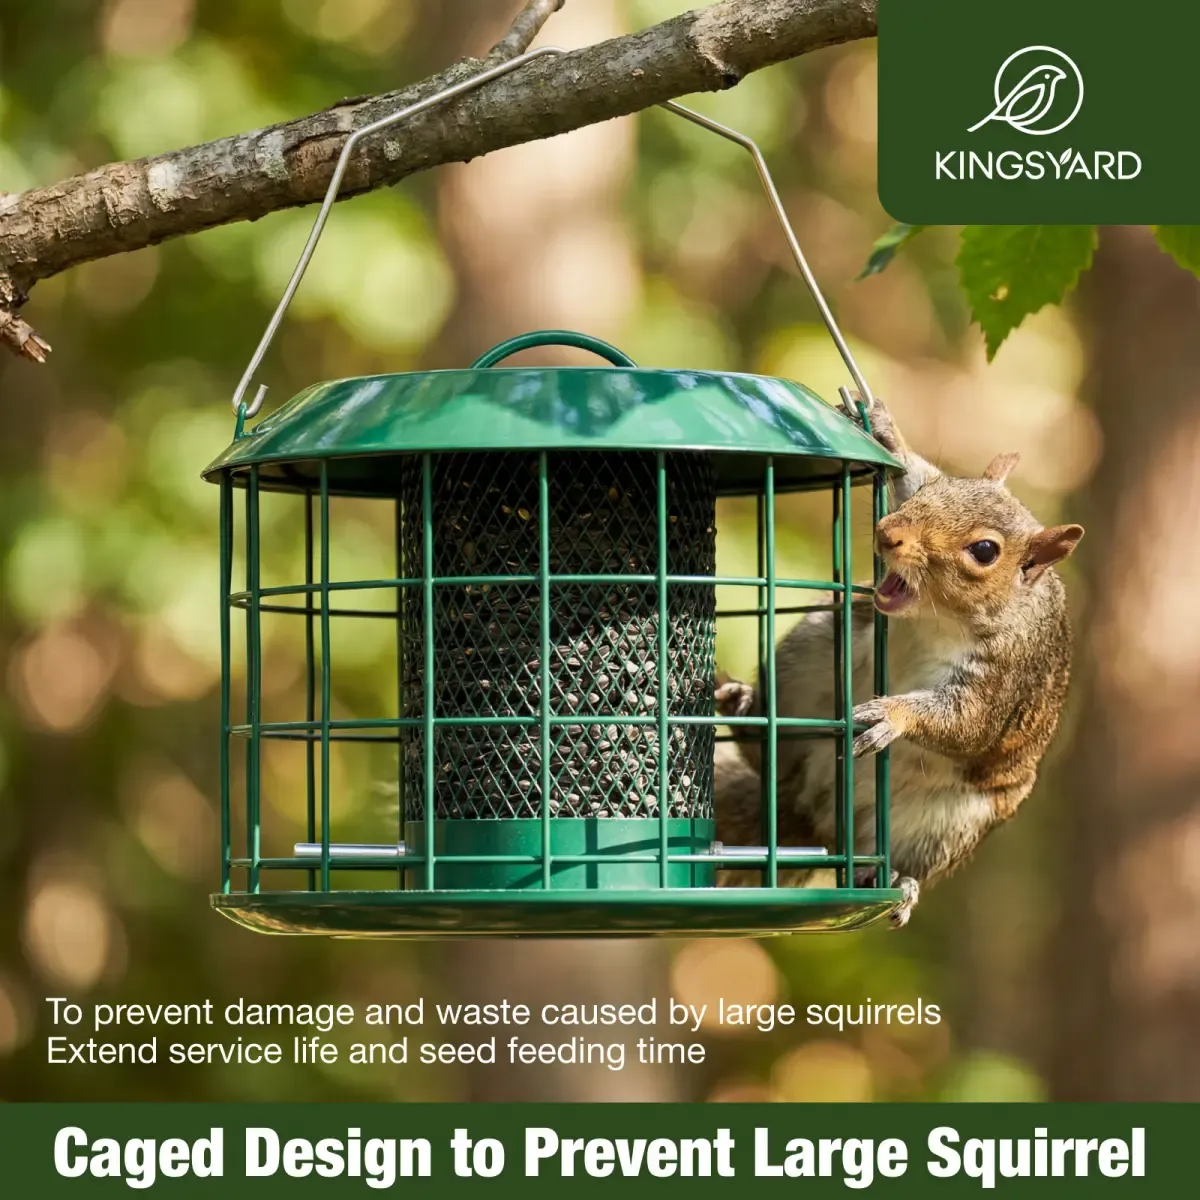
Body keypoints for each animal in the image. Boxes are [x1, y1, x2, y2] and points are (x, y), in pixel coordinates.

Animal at [713, 393, 1084, 927]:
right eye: (935, 489)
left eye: (984, 551)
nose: (887, 533)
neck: (936, 620)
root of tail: (814, 821)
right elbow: (908, 465)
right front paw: (889, 435)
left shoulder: (1005, 674)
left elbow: (967, 722)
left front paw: (892, 713)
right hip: (815, 645)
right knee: (776, 764)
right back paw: (747, 713)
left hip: (944, 825)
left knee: (901, 857)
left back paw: (893, 882)